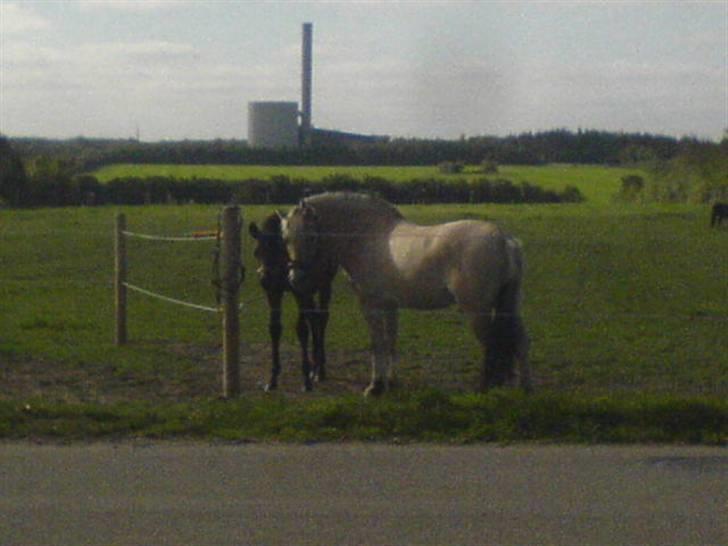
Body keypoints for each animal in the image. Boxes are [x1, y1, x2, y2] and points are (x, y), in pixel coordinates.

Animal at [249, 210, 336, 388]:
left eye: (277, 250)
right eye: (256, 252)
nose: (265, 279)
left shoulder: (300, 293)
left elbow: (301, 329)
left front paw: (306, 378)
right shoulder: (274, 293)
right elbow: (275, 328)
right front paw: (273, 377)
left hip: (324, 285)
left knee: (322, 318)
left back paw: (320, 370)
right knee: (313, 318)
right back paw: (315, 364)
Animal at [282, 192, 532, 396]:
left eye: (310, 237)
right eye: (286, 238)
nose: (295, 278)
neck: (368, 235)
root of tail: (504, 239)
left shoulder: (370, 304)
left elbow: (378, 343)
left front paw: (375, 386)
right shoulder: (391, 305)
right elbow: (391, 341)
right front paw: (391, 383)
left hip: (477, 309)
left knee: (491, 345)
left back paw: (485, 388)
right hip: (511, 306)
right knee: (520, 341)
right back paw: (524, 389)